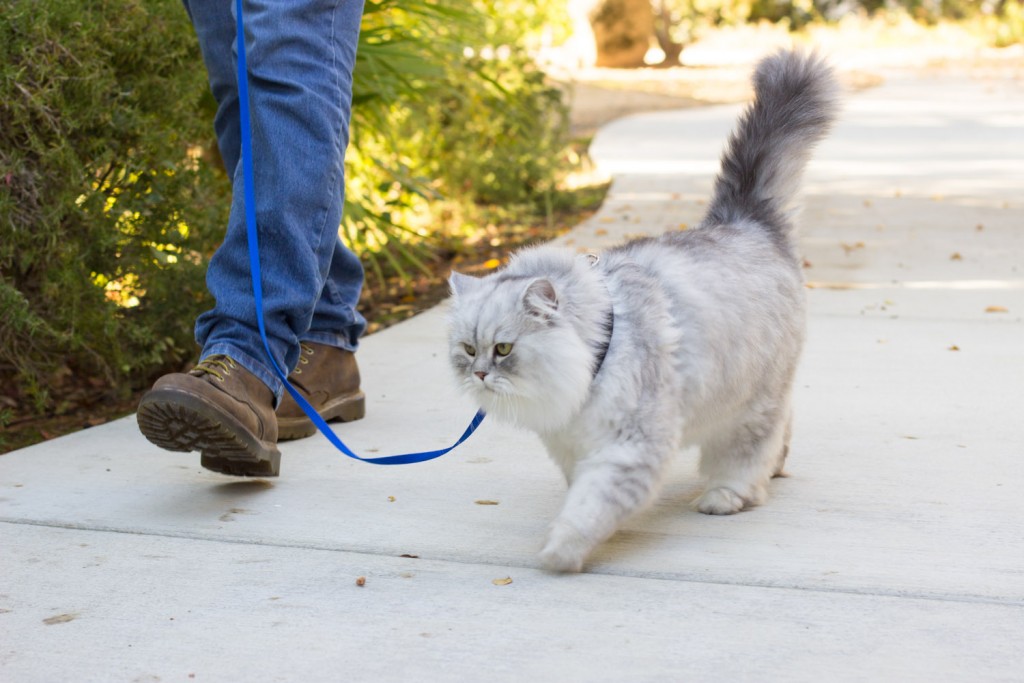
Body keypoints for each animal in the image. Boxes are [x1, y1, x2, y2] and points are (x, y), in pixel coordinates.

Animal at [448, 49, 839, 573]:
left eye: (504, 349)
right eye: (469, 350)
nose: (480, 375)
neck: (596, 356)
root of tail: (746, 221)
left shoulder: (630, 446)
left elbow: (591, 506)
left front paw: (561, 551)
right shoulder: (574, 446)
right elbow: (580, 491)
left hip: (748, 403)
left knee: (748, 451)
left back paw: (728, 496)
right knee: (781, 431)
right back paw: (773, 470)